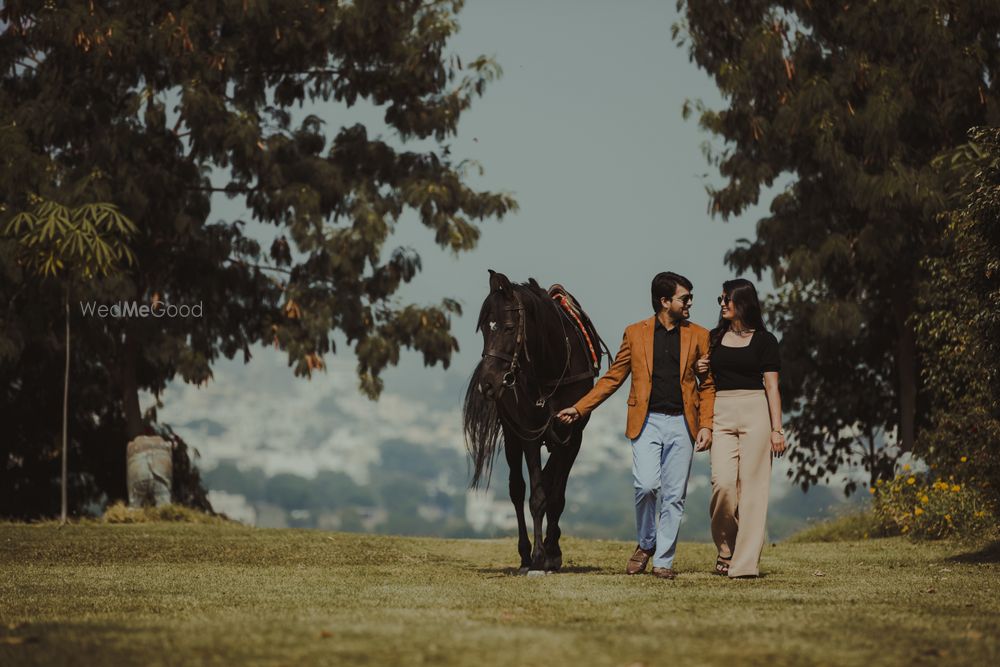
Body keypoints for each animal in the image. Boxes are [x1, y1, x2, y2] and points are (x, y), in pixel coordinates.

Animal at [462, 272, 608, 576]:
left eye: (508, 327)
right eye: (484, 330)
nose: (488, 383)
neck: (551, 366)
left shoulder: (573, 436)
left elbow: (556, 496)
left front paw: (553, 553)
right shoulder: (528, 434)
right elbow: (537, 497)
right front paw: (539, 558)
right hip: (511, 434)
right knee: (517, 490)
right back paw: (525, 555)